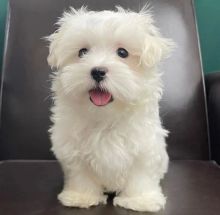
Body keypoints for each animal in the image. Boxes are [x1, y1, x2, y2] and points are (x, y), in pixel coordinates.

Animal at [46, 6, 174, 212]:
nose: (97, 71)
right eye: (82, 52)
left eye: (122, 52)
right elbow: (80, 174)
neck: (105, 117)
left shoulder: (144, 147)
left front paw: (140, 200)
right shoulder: (73, 149)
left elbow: (140, 175)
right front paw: (80, 197)